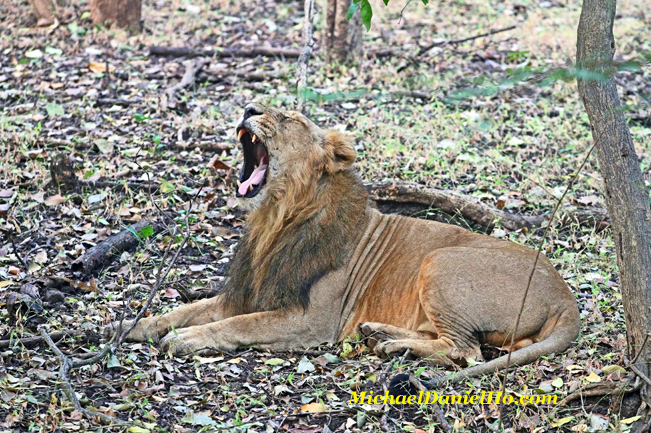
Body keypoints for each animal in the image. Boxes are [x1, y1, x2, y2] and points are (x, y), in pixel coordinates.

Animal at [112, 104, 580, 384]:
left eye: (289, 119)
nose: (248, 108)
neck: (275, 219)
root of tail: (566, 298)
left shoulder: (312, 319)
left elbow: (237, 325)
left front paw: (186, 339)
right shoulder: (247, 292)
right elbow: (184, 310)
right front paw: (129, 327)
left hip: (440, 260)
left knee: (467, 352)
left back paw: (390, 344)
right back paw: (379, 333)